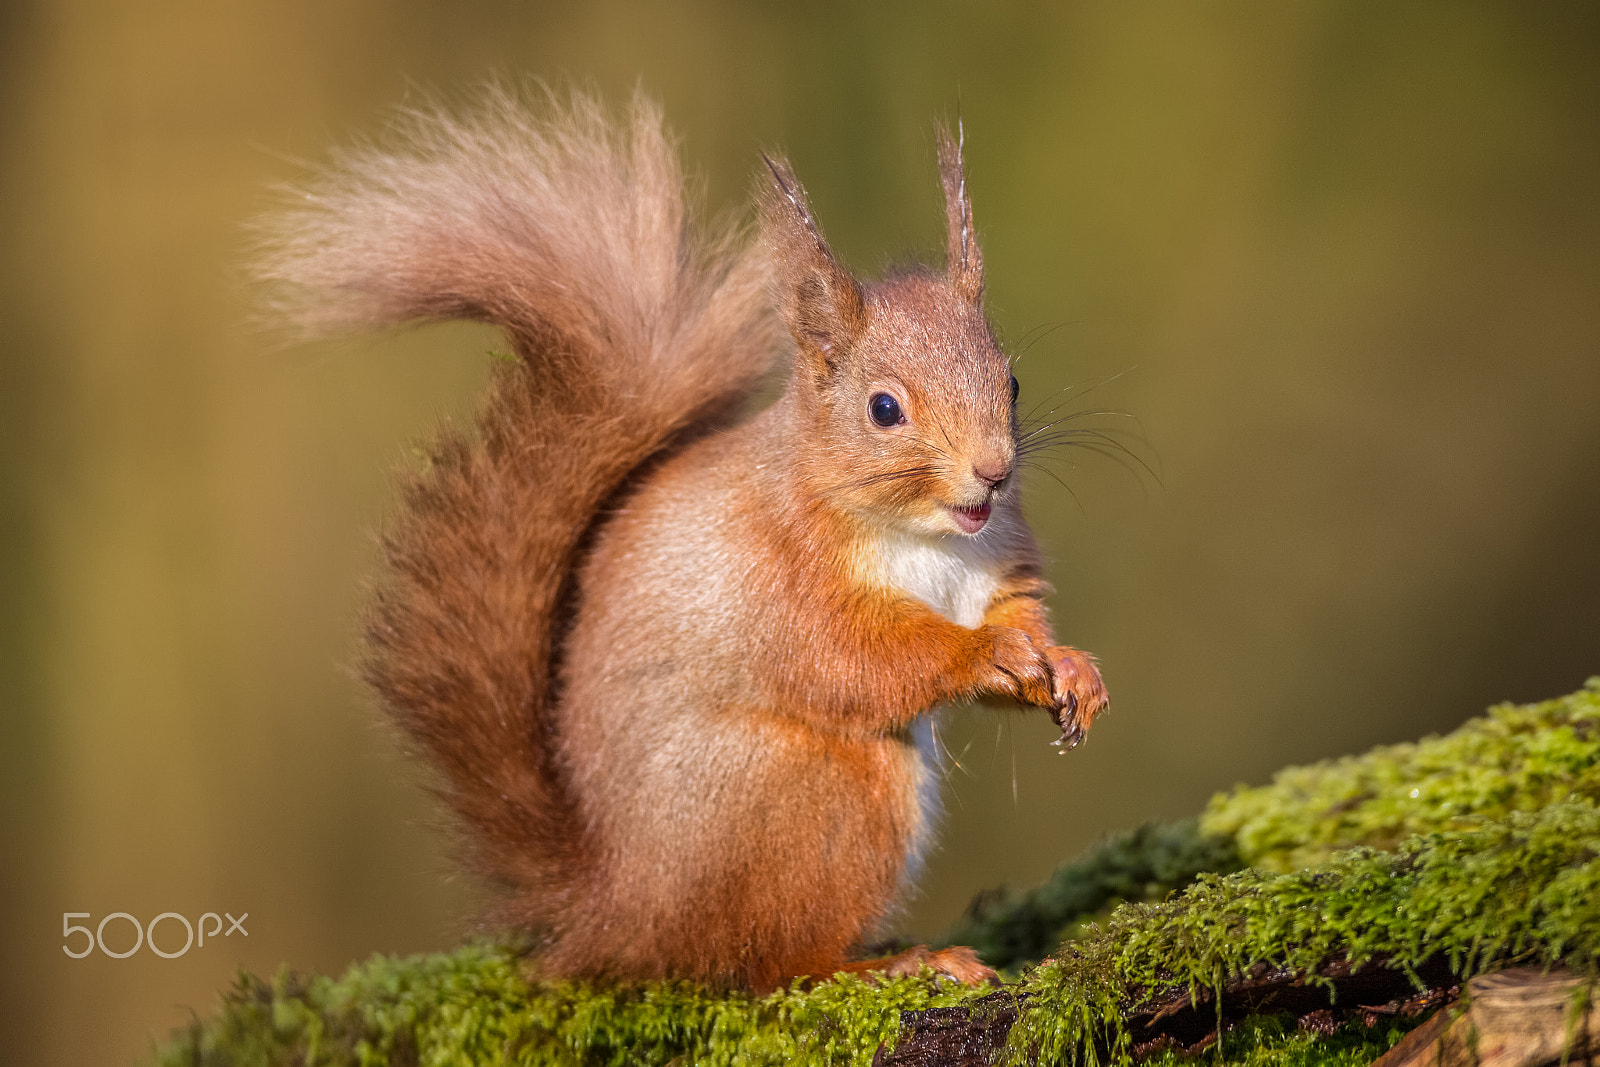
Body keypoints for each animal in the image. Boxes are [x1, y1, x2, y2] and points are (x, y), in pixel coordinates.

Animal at [256, 85, 1107, 991]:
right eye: (884, 408)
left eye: (1010, 380)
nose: (993, 472)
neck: (928, 536)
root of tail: (618, 909)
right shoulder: (785, 577)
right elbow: (854, 661)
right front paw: (981, 653)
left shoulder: (994, 561)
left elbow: (1015, 613)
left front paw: (1067, 668)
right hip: (821, 792)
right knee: (772, 961)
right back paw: (891, 961)